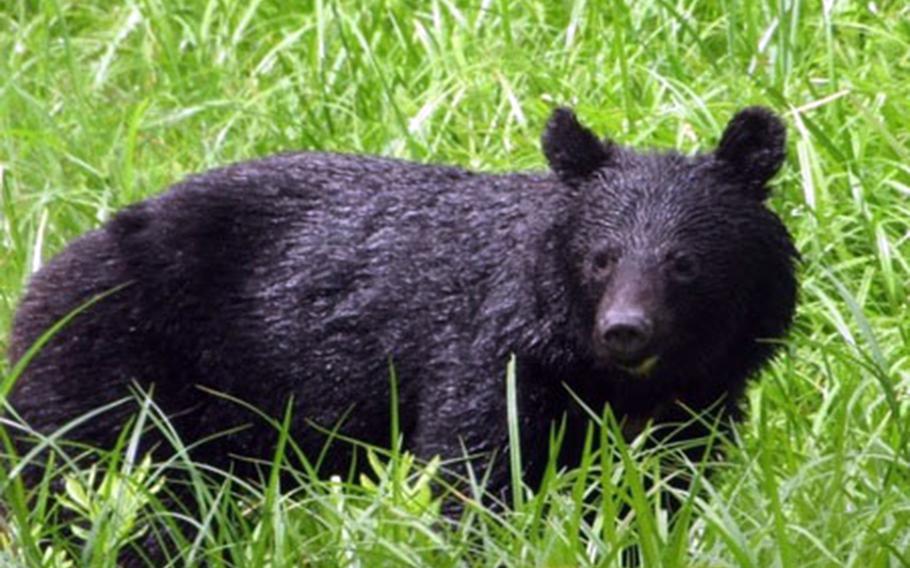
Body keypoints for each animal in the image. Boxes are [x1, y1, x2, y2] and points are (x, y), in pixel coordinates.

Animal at [6, 106, 797, 518]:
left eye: (683, 262)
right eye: (601, 258)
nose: (626, 331)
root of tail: (38, 285)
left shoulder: (698, 398)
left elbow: (664, 485)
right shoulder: (492, 355)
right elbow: (477, 467)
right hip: (110, 374)